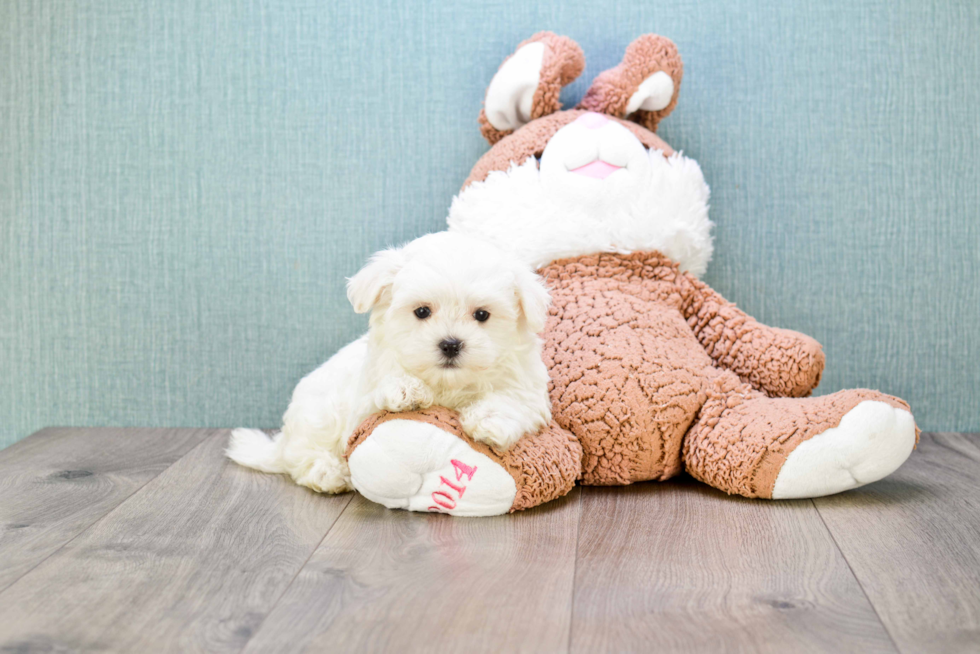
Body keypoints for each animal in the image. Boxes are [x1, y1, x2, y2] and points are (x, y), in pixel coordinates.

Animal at [226, 233, 556, 494]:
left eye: (482, 315)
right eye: (422, 311)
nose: (450, 344)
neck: (447, 384)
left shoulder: (528, 389)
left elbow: (513, 400)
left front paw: (488, 419)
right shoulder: (362, 403)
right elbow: (382, 391)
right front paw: (405, 389)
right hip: (318, 416)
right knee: (301, 456)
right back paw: (327, 472)